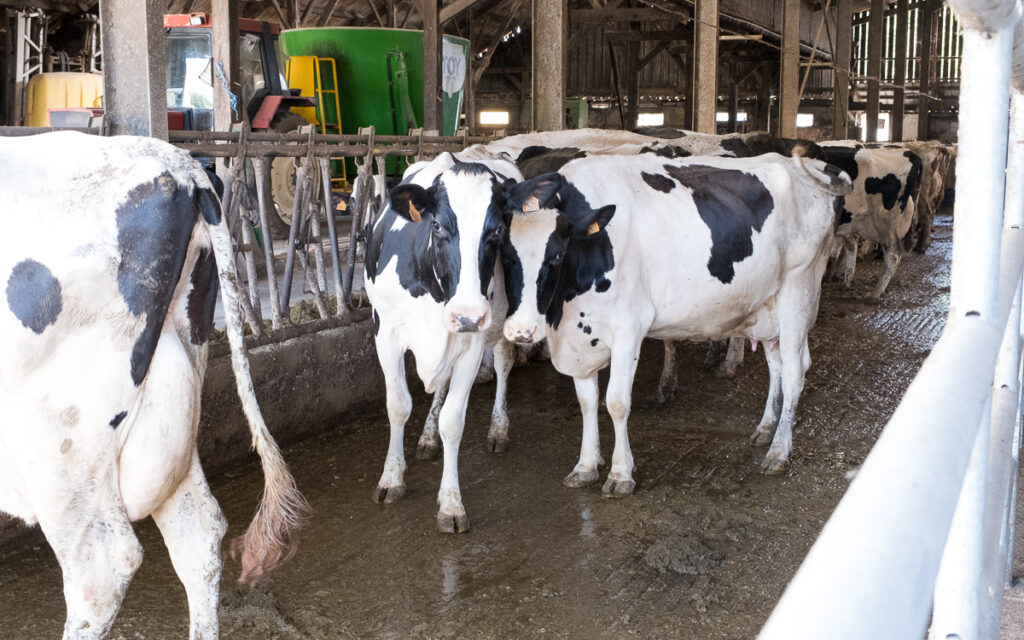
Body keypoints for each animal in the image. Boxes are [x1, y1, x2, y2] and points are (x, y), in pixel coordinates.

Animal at [363, 149, 522, 533]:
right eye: (436, 225)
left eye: (498, 229)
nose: (467, 314)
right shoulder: (384, 332)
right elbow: (398, 405)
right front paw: (392, 478)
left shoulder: (472, 341)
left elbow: (454, 420)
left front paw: (451, 504)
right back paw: (426, 436)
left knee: (503, 361)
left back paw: (498, 429)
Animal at [497, 152, 852, 491]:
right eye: (505, 251)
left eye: (557, 254)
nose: (521, 330)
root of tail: (811, 165)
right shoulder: (580, 339)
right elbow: (587, 402)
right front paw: (585, 466)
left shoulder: (629, 329)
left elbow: (616, 402)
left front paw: (620, 473)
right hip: (769, 306)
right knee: (777, 365)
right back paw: (766, 428)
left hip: (799, 291)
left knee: (794, 373)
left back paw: (778, 452)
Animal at [820, 141, 923, 299]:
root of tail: (910, 153)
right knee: (851, 246)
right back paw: (846, 282)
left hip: (884, 222)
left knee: (893, 256)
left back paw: (875, 293)